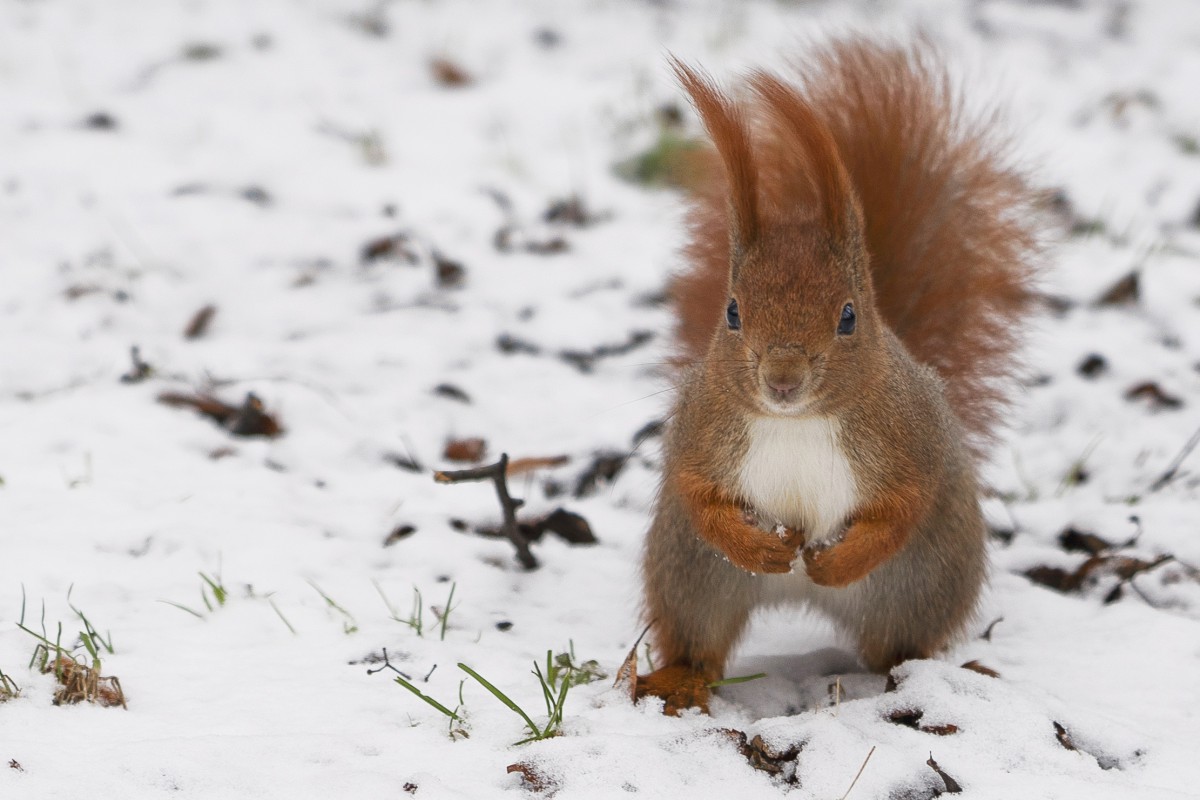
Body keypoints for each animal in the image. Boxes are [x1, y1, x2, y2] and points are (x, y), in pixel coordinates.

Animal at [638, 38, 1041, 714]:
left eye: (848, 316)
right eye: (732, 311)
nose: (782, 378)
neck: (799, 421)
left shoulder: (912, 438)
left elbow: (905, 505)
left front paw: (837, 563)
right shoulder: (700, 428)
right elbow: (698, 494)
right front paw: (759, 546)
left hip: (920, 584)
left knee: (896, 643)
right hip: (692, 574)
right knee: (699, 636)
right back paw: (683, 679)